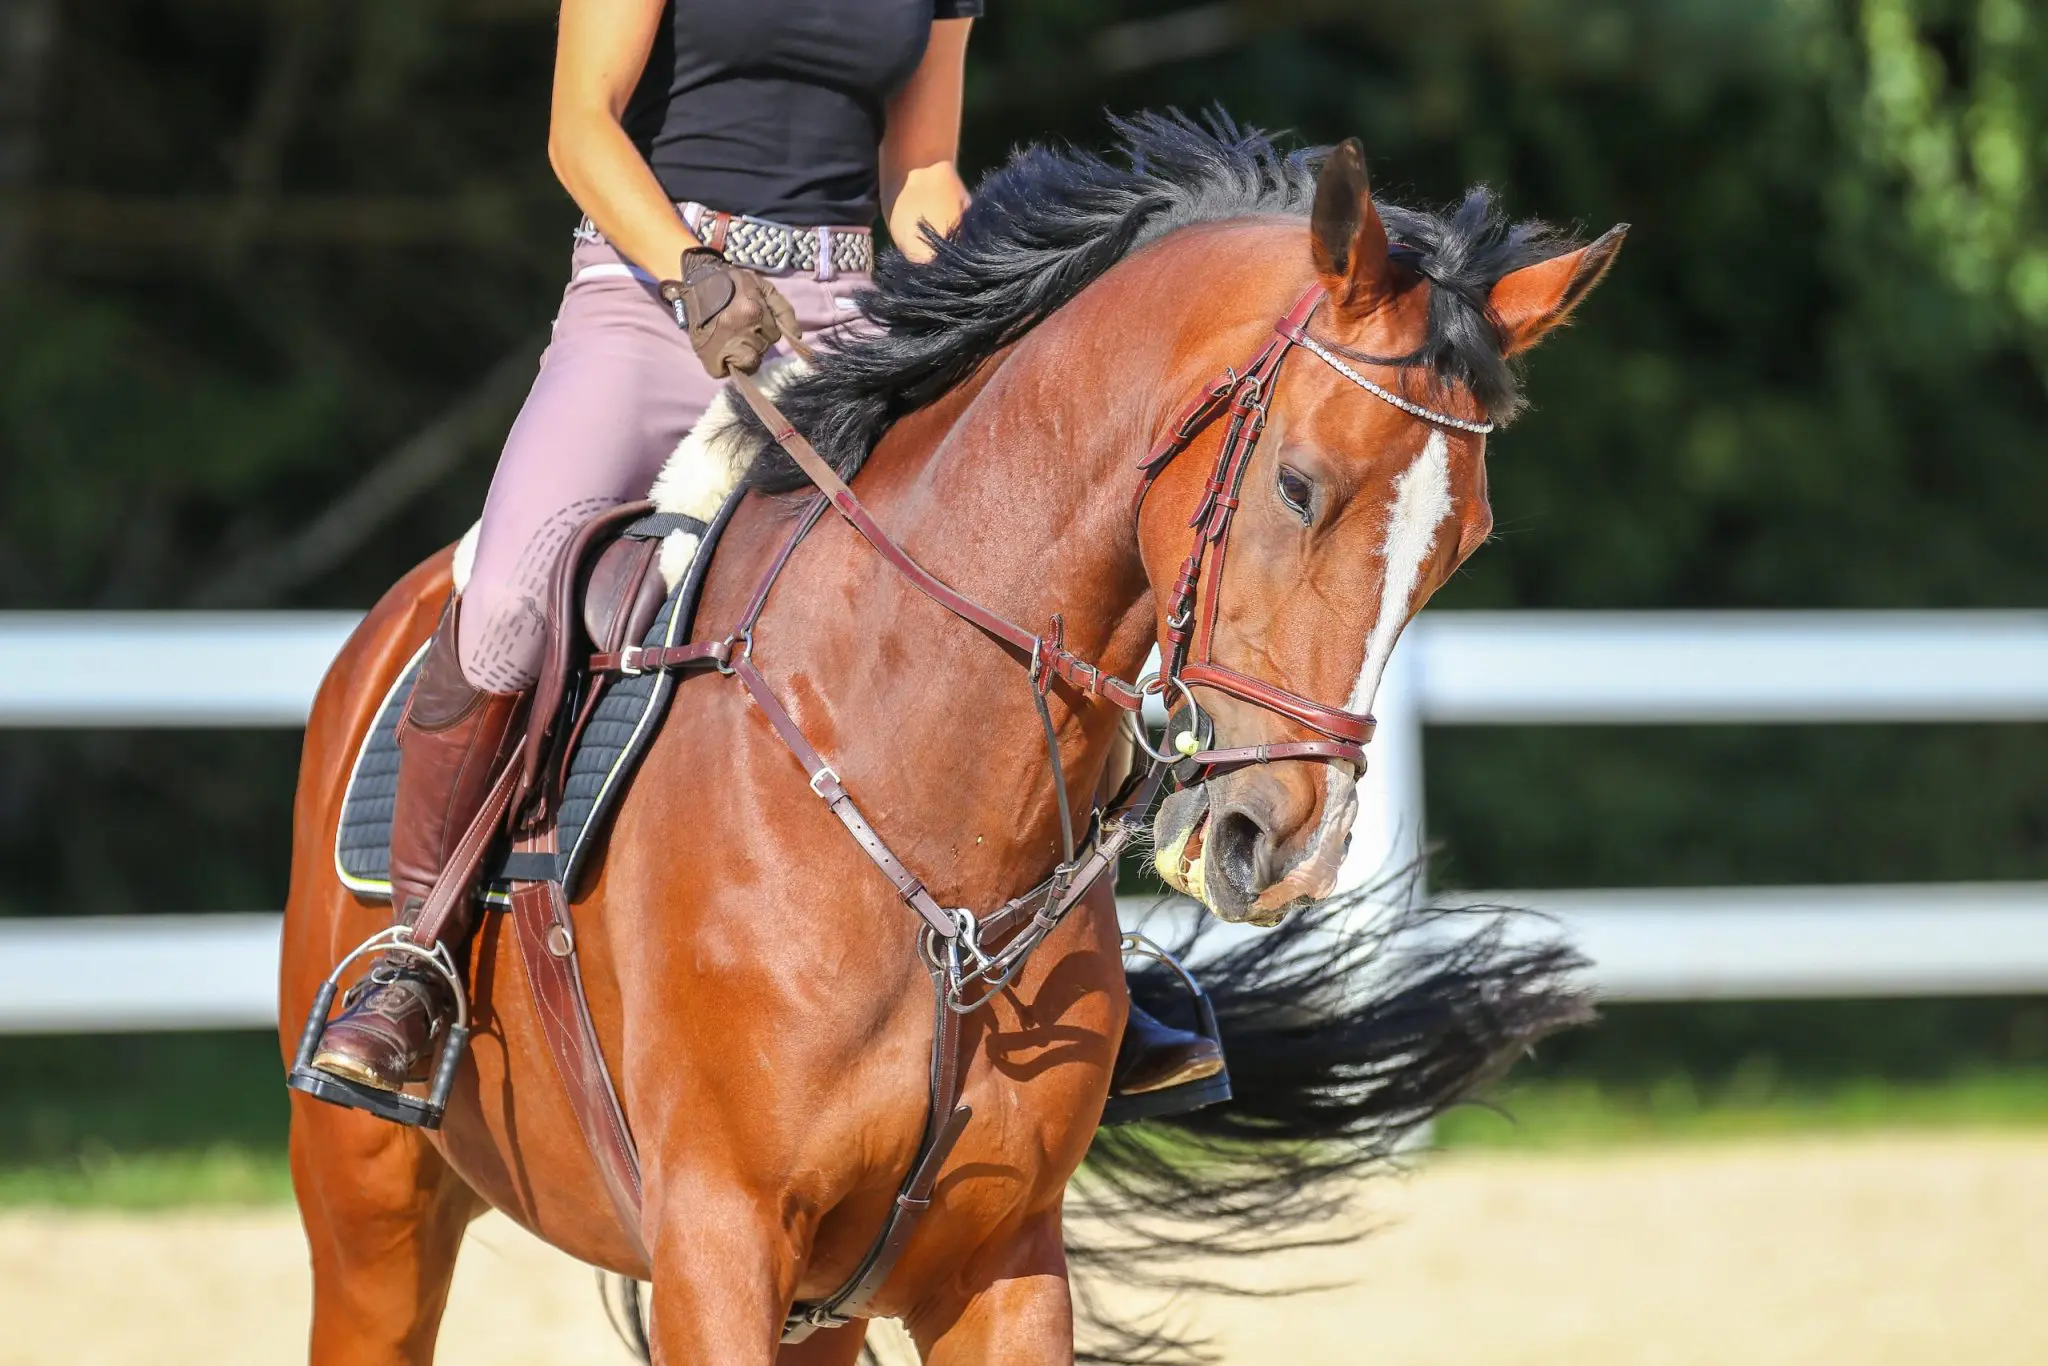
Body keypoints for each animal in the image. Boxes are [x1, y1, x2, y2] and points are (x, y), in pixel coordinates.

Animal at [280, 112, 1613, 1359]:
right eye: (1296, 485)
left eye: (1460, 545)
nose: (1277, 846)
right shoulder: (714, 1243)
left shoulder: (999, 1260)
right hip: (371, 1218)